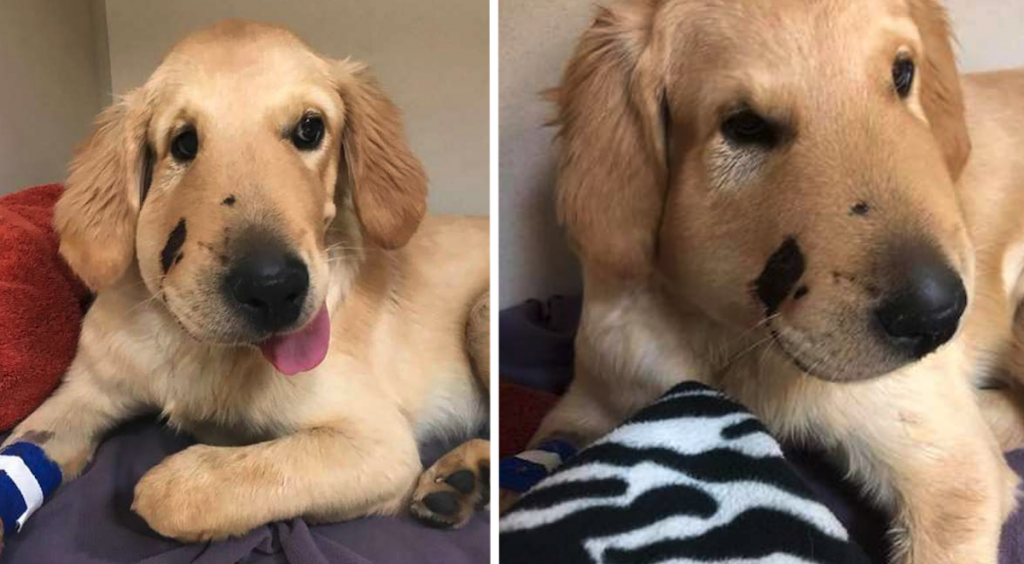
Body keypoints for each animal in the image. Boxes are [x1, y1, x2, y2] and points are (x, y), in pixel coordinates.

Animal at [0, 18, 491, 548]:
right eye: (184, 142)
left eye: (310, 128)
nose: (274, 287)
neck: (190, 340)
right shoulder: (83, 393)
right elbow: (24, 448)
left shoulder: (378, 442)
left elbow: (186, 488)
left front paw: (174, 482)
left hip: (481, 314)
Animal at [528, 1, 1024, 564]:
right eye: (745, 125)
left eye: (902, 73)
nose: (939, 315)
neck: (731, 343)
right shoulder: (590, 401)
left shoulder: (953, 476)